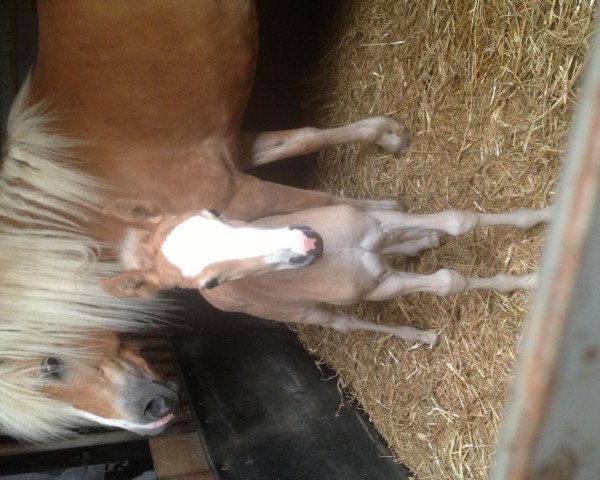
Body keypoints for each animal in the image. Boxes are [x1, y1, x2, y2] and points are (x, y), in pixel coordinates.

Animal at [0, 0, 408, 442]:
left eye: (50, 365)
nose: (152, 416)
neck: (86, 197)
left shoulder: (242, 193)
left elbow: (322, 192)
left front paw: (394, 194)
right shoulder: (236, 154)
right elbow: (305, 138)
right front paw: (388, 142)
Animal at [101, 199, 552, 344]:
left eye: (214, 211)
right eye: (212, 278)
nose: (307, 243)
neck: (338, 251)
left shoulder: (376, 222)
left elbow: (461, 220)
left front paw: (547, 215)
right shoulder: (378, 287)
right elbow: (447, 281)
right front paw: (530, 282)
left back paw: (422, 241)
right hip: (306, 312)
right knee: (344, 324)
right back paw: (419, 336)